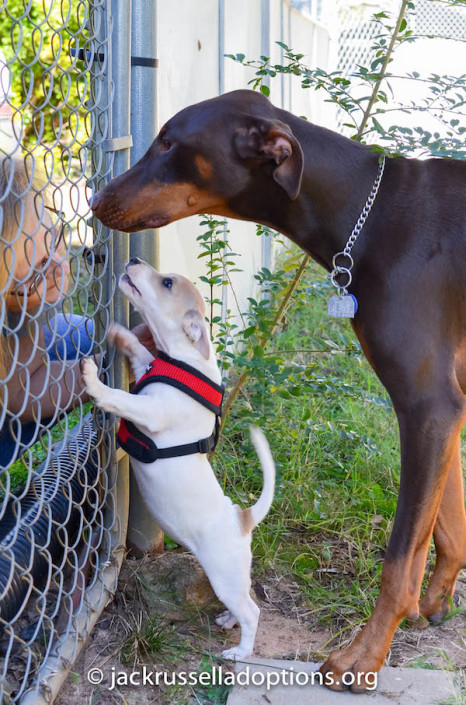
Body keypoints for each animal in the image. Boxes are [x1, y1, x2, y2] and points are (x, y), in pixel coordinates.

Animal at [81, 258, 274, 660]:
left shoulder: (150, 411)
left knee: (252, 611)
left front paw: (93, 379)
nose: (134, 261)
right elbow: (142, 354)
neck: (186, 360)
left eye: (167, 282)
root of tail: (243, 518)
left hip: (223, 574)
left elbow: (119, 398)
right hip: (234, 577)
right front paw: (122, 334)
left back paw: (240, 651)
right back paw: (228, 621)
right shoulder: (147, 369)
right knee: (246, 598)